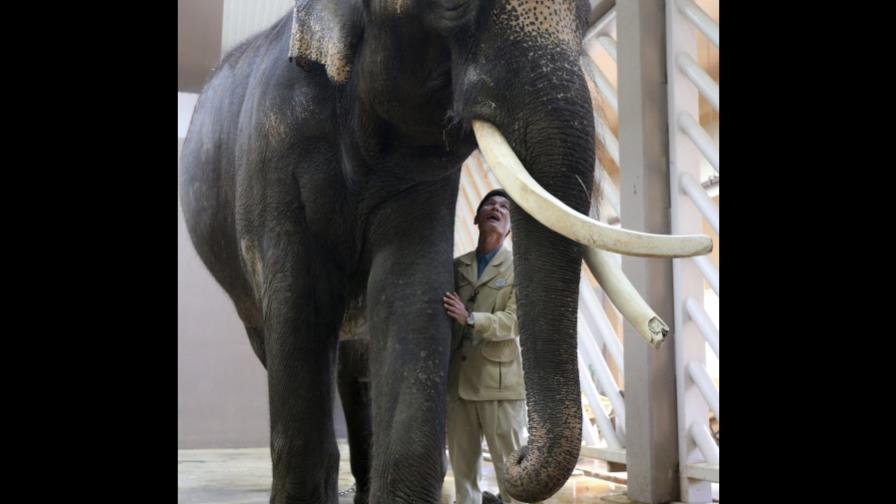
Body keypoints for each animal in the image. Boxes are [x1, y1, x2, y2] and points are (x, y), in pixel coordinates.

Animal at [179, 0, 711, 502]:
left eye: (583, 22)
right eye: (454, 4)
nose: (516, 458)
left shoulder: (422, 181)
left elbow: (411, 290)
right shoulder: (274, 154)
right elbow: (300, 307)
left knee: (357, 364)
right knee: (283, 345)